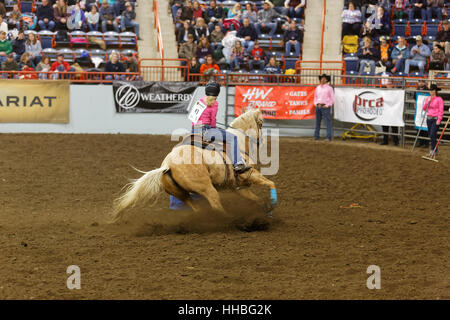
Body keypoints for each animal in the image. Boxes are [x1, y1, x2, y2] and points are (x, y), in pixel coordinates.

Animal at [110, 108, 276, 222]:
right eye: (261, 123)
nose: (262, 141)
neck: (239, 142)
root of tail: (167, 165)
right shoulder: (251, 174)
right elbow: (271, 183)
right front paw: (272, 205)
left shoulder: (239, 187)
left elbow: (258, 199)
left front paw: (267, 209)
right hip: (207, 189)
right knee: (216, 206)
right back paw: (234, 222)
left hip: (181, 194)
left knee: (195, 208)